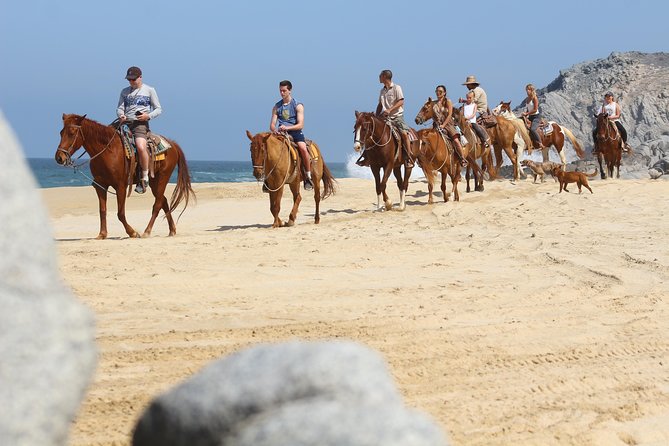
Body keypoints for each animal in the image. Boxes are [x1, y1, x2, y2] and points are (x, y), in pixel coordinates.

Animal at [54, 115, 193, 240]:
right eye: (61, 133)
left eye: (72, 133)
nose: (59, 157)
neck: (107, 151)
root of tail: (172, 144)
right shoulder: (100, 186)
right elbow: (102, 210)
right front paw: (102, 234)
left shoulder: (120, 186)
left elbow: (120, 213)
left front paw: (132, 233)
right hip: (154, 182)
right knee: (163, 200)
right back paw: (172, 230)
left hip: (162, 178)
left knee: (157, 204)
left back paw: (147, 231)